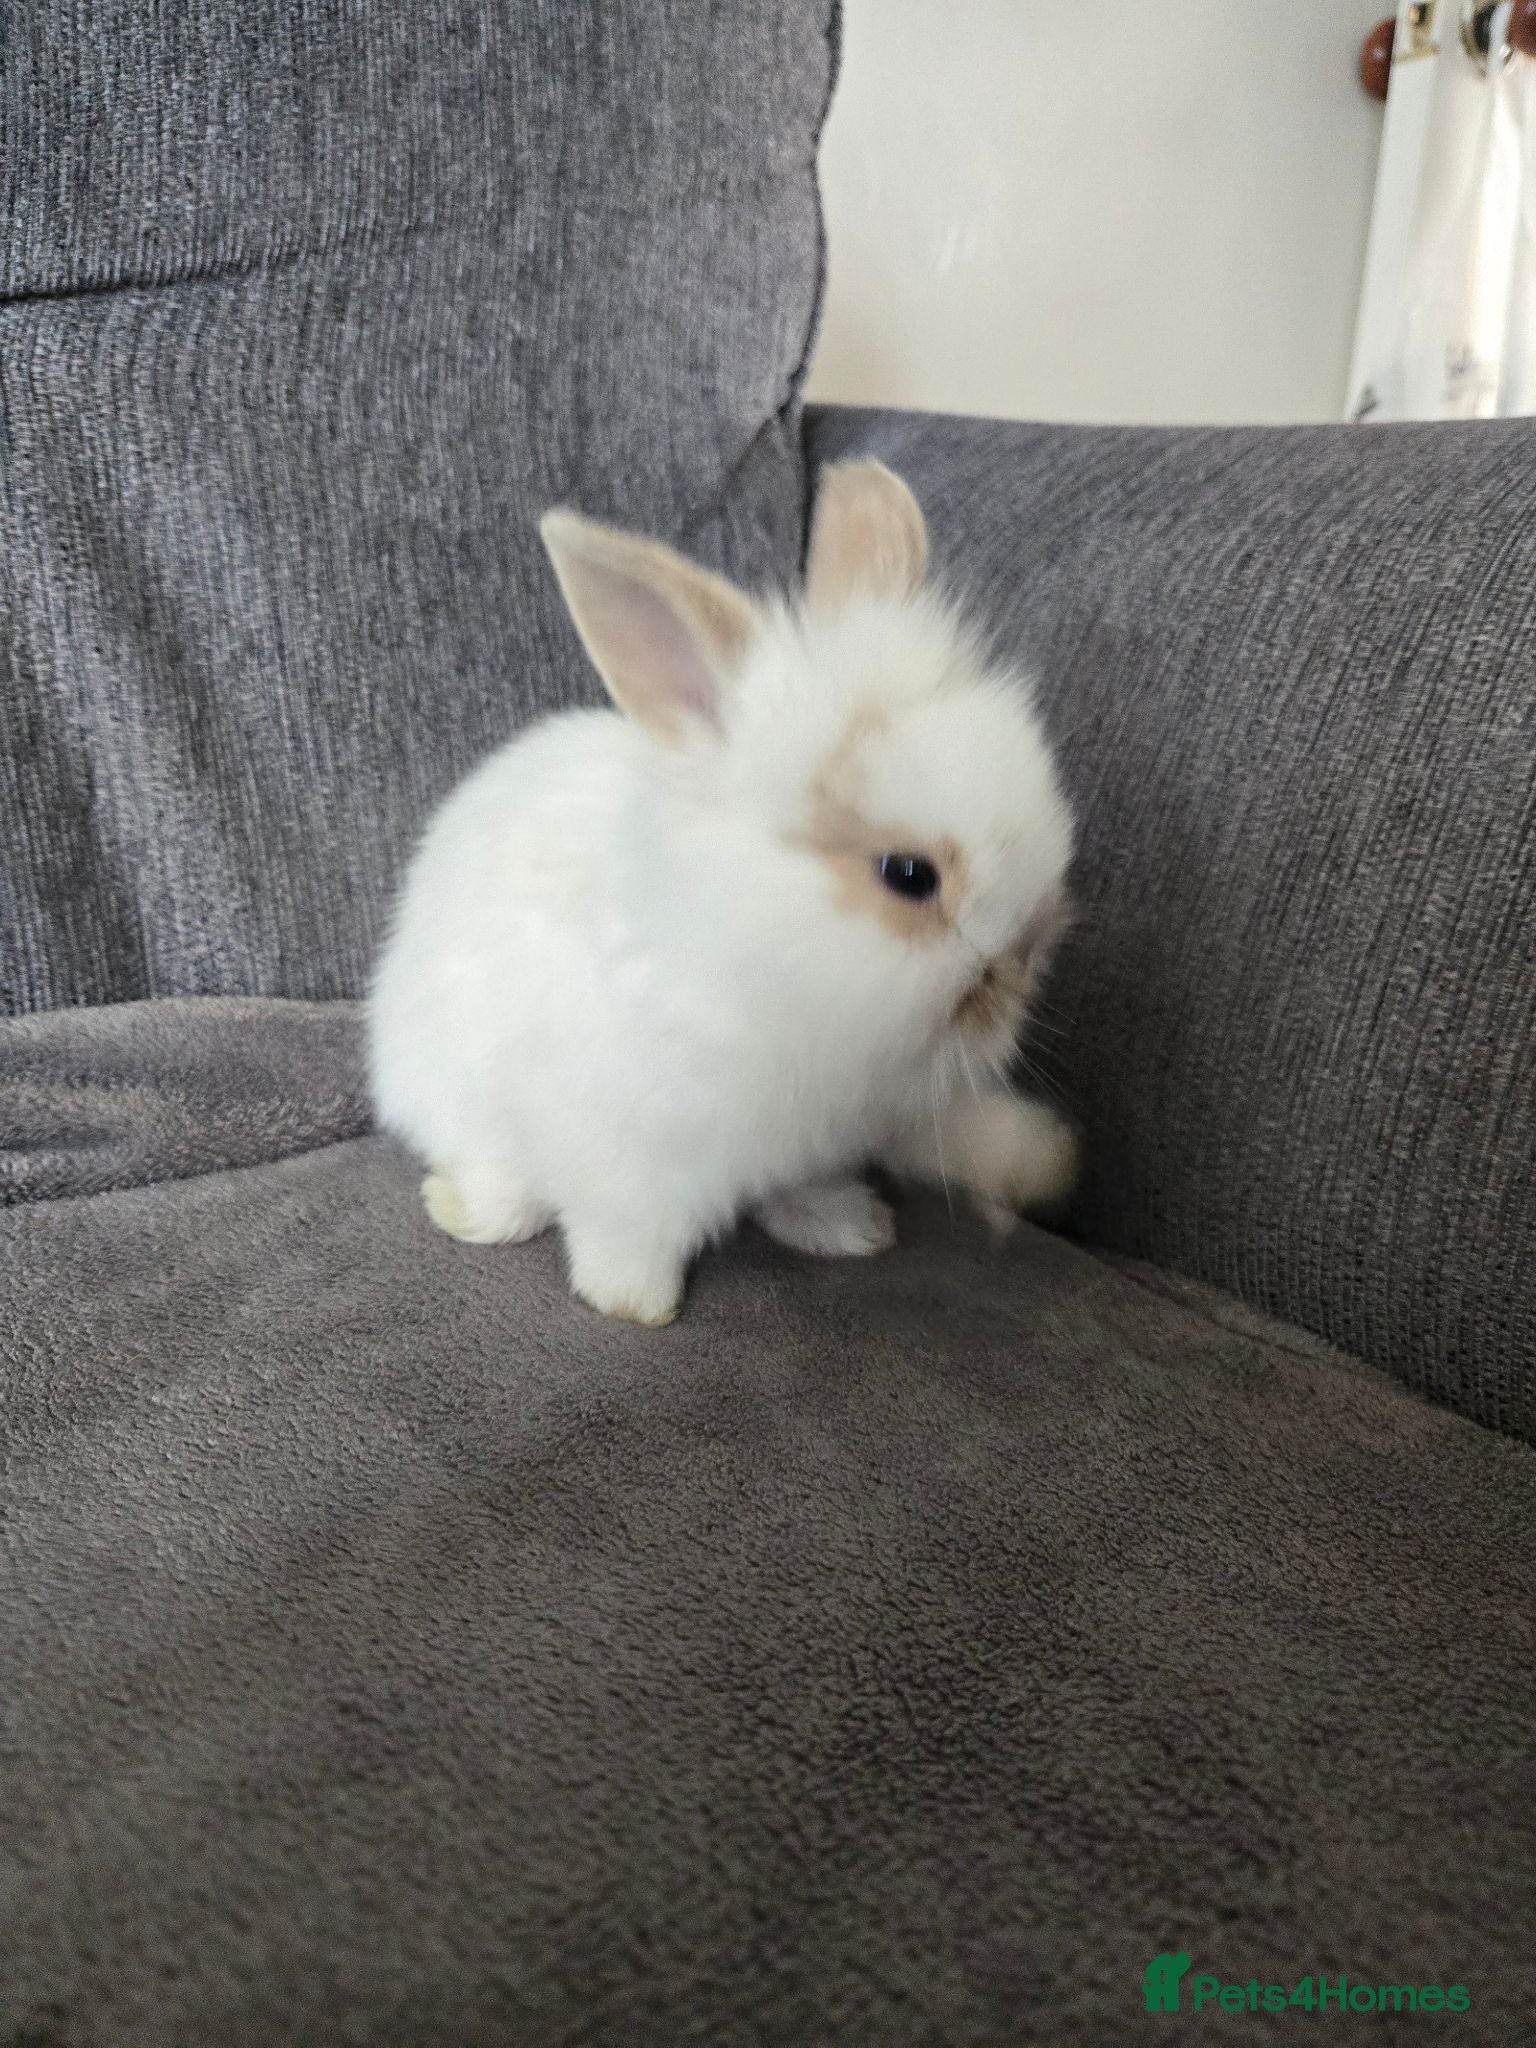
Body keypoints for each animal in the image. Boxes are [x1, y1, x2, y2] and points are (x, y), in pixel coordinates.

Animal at [367, 459, 1077, 1326]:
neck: (745, 954)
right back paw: (465, 1208)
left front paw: (862, 1222)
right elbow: (624, 1230)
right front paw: (634, 1303)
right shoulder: (621, 1156)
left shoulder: (833, 1132)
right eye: (910, 877)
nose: (1023, 961)